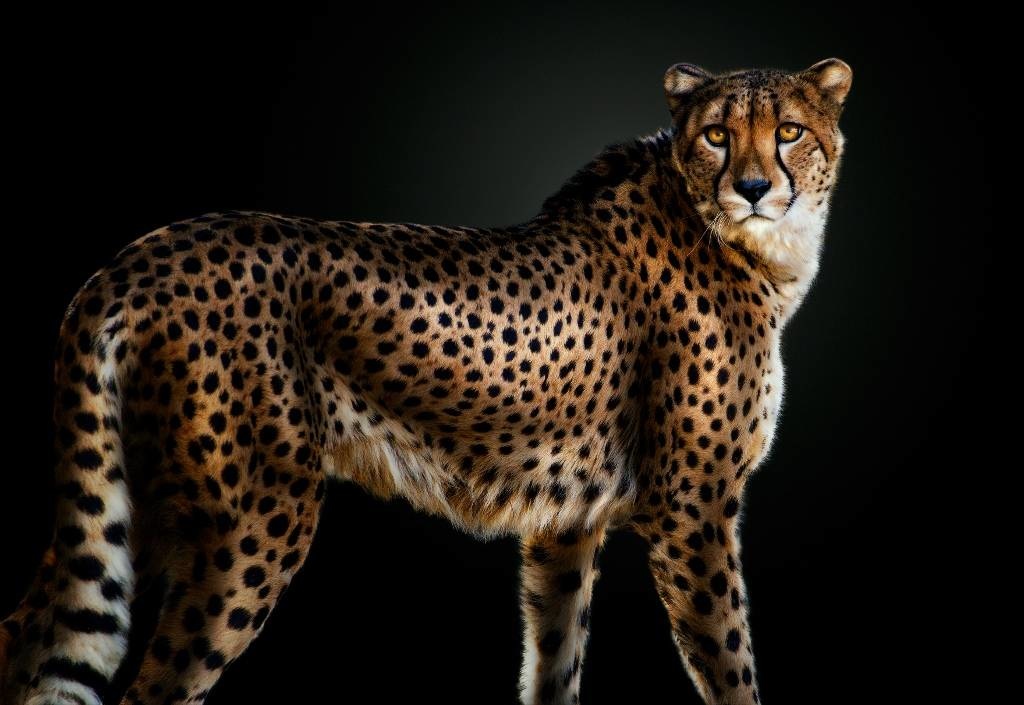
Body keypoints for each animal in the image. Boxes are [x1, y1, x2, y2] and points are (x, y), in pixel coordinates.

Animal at [0, 58, 851, 705]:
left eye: (789, 131)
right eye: (717, 134)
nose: (752, 187)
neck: (749, 245)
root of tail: (135, 257)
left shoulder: (564, 526)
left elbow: (553, 660)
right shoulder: (691, 509)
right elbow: (731, 668)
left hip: (141, 497)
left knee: (35, 632)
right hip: (251, 520)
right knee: (154, 684)